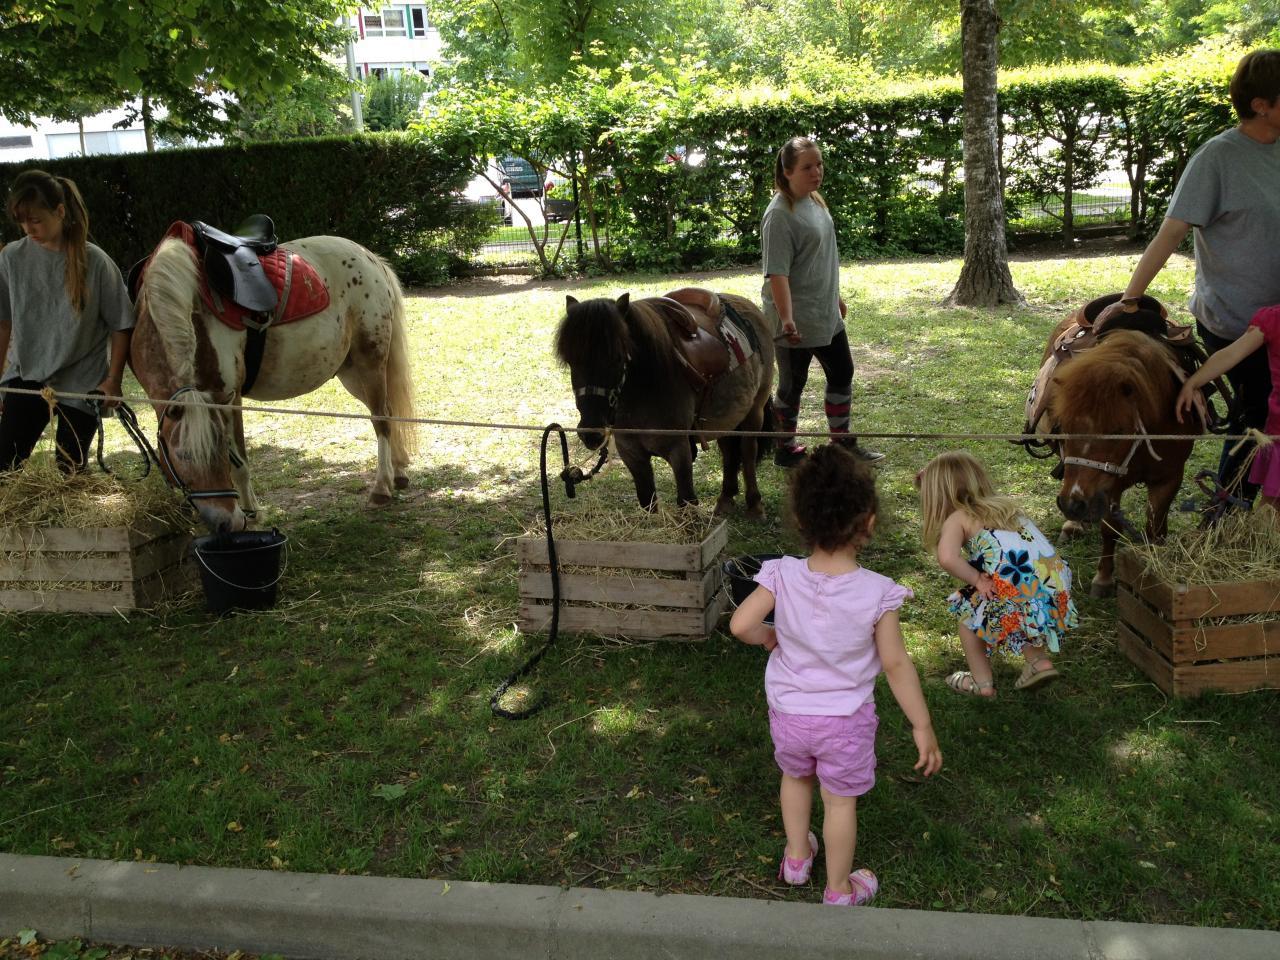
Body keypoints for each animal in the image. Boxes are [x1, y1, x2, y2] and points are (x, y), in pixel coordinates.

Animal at [132, 230, 417, 537]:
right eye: (181, 456)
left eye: (218, 450)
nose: (227, 523)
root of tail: (370, 258)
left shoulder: (229, 397)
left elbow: (240, 463)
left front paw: (253, 516)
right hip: (352, 374)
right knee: (389, 412)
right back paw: (399, 471)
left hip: (369, 365)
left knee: (381, 420)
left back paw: (382, 488)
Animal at [555, 293, 773, 519]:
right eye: (571, 361)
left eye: (617, 358)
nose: (591, 432)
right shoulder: (631, 453)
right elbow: (647, 500)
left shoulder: (679, 450)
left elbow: (686, 500)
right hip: (726, 419)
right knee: (729, 451)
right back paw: (726, 498)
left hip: (754, 412)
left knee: (748, 451)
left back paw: (755, 504)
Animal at [1049, 335, 1198, 599]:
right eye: (1063, 425)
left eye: (1117, 431)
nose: (1072, 503)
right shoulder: (1110, 486)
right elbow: (1110, 529)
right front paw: (1104, 579)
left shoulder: (1169, 478)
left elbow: (1154, 527)